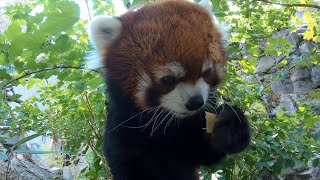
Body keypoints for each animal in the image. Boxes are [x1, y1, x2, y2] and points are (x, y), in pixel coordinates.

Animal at [87, 0, 250, 179]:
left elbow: (205, 151)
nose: (196, 103)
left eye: (207, 72)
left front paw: (230, 124)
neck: (166, 125)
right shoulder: (122, 131)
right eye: (168, 79)